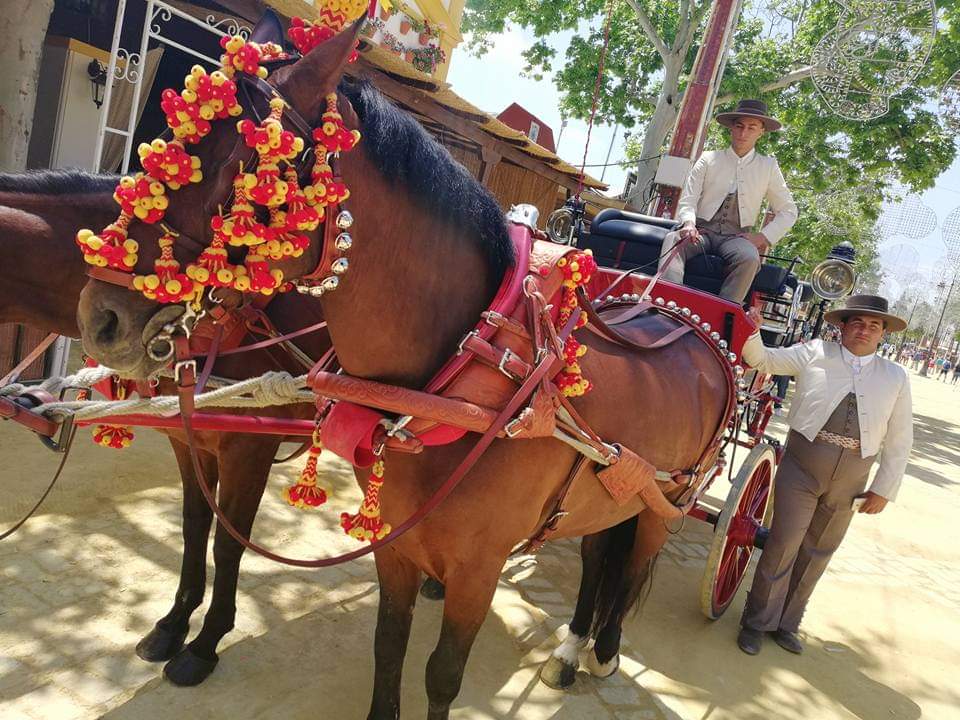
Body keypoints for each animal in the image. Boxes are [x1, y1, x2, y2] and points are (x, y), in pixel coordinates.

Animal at [0, 169, 332, 686]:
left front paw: (206, 644)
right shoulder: (187, 440)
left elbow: (229, 544)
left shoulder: (249, 451)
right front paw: (173, 625)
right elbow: (194, 528)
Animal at [74, 22, 729, 719]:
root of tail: (692, 322)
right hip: (611, 494)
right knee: (599, 553)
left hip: (662, 504)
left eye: (239, 170)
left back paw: (603, 650)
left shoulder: (476, 570)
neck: (461, 382)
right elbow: (387, 646)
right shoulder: (393, 543)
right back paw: (573, 647)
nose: (101, 318)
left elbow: (441, 675)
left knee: (628, 568)